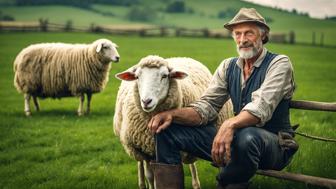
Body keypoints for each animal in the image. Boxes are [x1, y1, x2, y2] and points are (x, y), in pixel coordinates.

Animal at [114, 55, 232, 188]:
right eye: (137, 77)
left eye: (164, 76)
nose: (146, 101)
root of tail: (181, 57)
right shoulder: (145, 152)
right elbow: (150, 176)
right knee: (140, 165)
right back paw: (142, 184)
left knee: (192, 164)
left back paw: (196, 184)